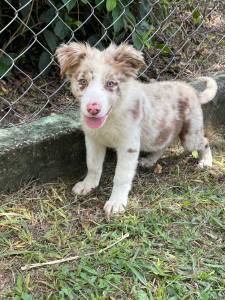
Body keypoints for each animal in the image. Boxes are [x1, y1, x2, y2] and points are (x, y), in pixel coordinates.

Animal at [56, 42, 218, 216]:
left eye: (111, 83)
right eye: (83, 82)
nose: (93, 109)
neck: (111, 117)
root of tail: (192, 90)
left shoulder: (128, 146)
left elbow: (121, 176)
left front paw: (116, 202)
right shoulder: (93, 140)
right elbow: (93, 165)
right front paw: (88, 185)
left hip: (190, 136)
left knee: (204, 141)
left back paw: (206, 161)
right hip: (157, 133)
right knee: (164, 144)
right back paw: (150, 160)